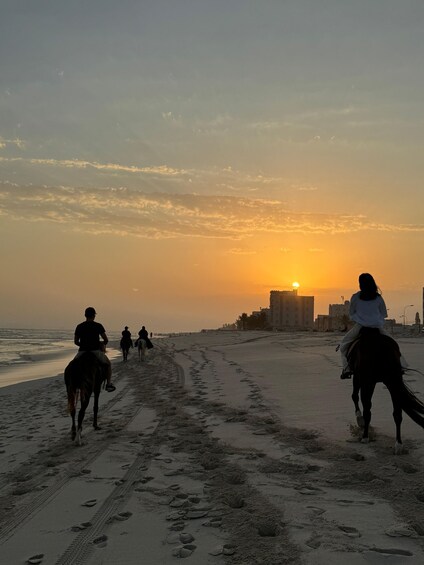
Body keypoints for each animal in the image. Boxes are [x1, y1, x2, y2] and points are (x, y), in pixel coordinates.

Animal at [346, 326, 424, 454]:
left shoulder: (360, 379)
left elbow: (355, 397)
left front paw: (360, 420)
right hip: (392, 382)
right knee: (397, 413)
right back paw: (398, 444)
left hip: (369, 382)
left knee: (367, 408)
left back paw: (365, 436)